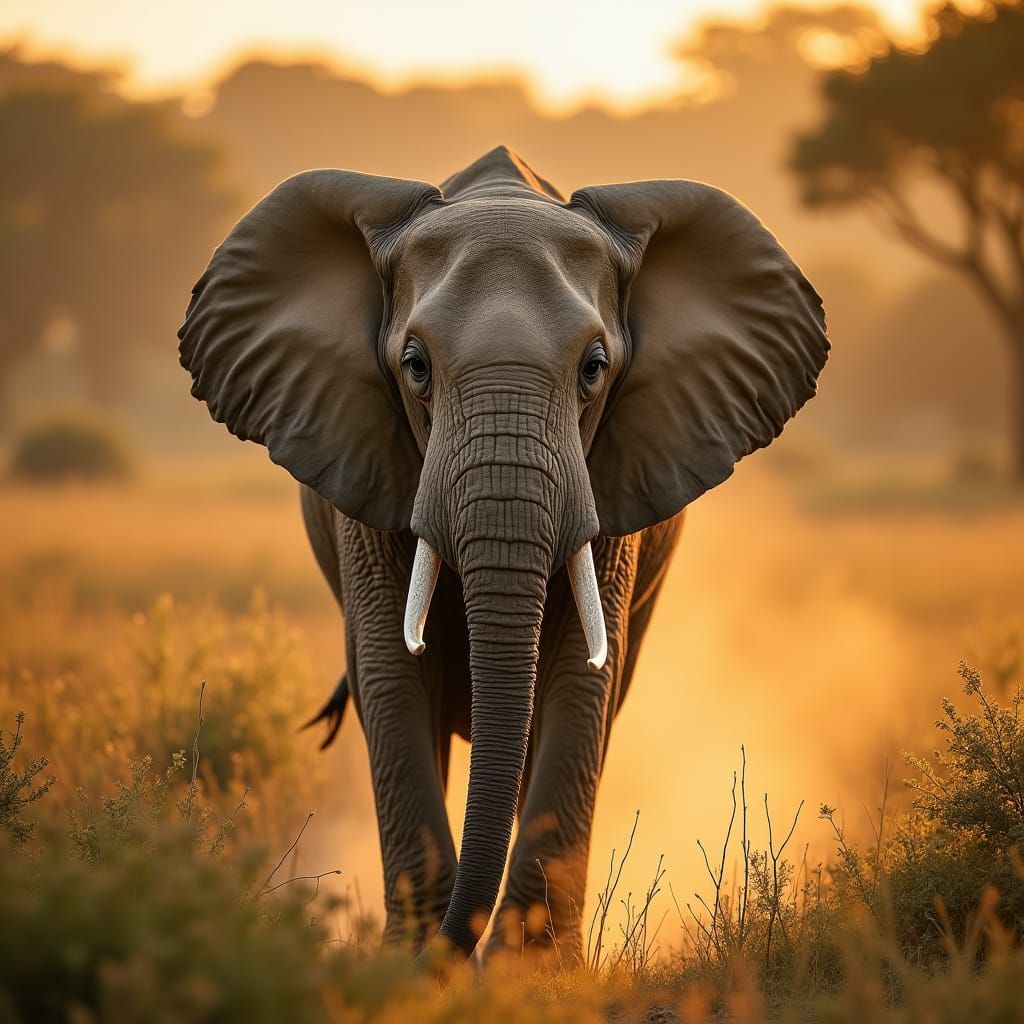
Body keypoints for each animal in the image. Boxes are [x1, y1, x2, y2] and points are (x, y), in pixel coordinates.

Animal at [178, 145, 828, 962]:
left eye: (594, 368)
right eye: (416, 365)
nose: (457, 949)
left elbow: (580, 678)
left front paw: (528, 975)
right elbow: (391, 673)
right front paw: (412, 971)